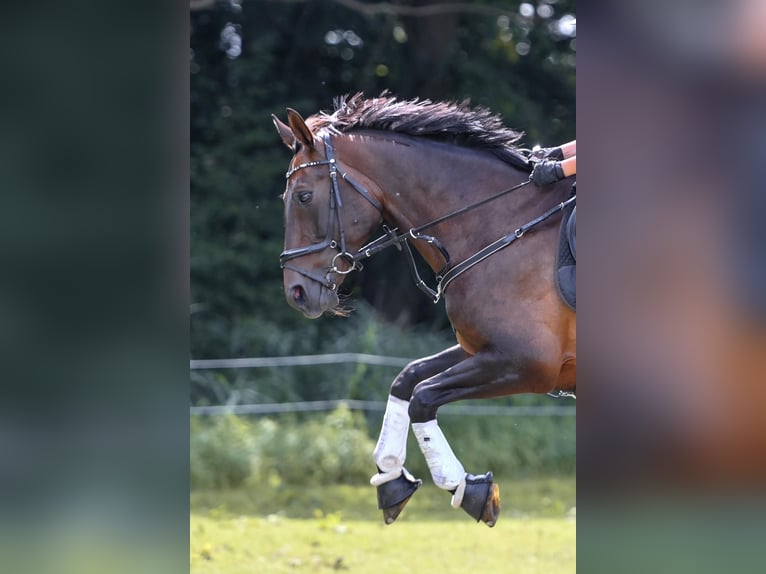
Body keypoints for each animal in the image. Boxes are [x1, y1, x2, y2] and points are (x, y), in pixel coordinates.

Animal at [272, 93, 576, 528]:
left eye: (303, 196)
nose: (296, 292)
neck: (501, 224)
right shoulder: (482, 349)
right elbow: (407, 378)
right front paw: (390, 477)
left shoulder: (528, 363)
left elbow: (424, 396)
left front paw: (467, 489)